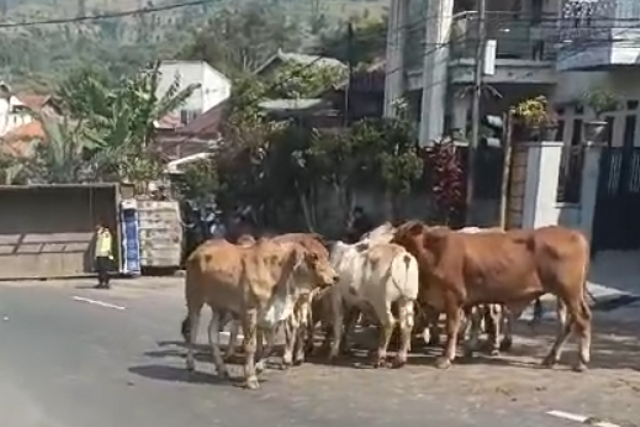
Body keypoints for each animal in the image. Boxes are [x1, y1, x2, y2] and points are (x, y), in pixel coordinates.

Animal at [181, 237, 338, 392]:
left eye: (326, 255)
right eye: (314, 257)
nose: (335, 277)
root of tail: (198, 250)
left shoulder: (271, 317)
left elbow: (270, 344)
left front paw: (258, 367)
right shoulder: (250, 313)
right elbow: (251, 346)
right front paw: (251, 378)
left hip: (219, 307)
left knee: (212, 331)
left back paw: (222, 369)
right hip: (194, 300)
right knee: (193, 330)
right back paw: (190, 363)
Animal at [392, 222, 592, 372]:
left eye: (399, 236)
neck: (433, 251)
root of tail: (575, 234)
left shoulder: (452, 297)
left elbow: (451, 329)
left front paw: (446, 358)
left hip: (569, 292)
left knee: (581, 320)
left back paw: (581, 361)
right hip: (566, 296)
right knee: (568, 324)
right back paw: (551, 358)